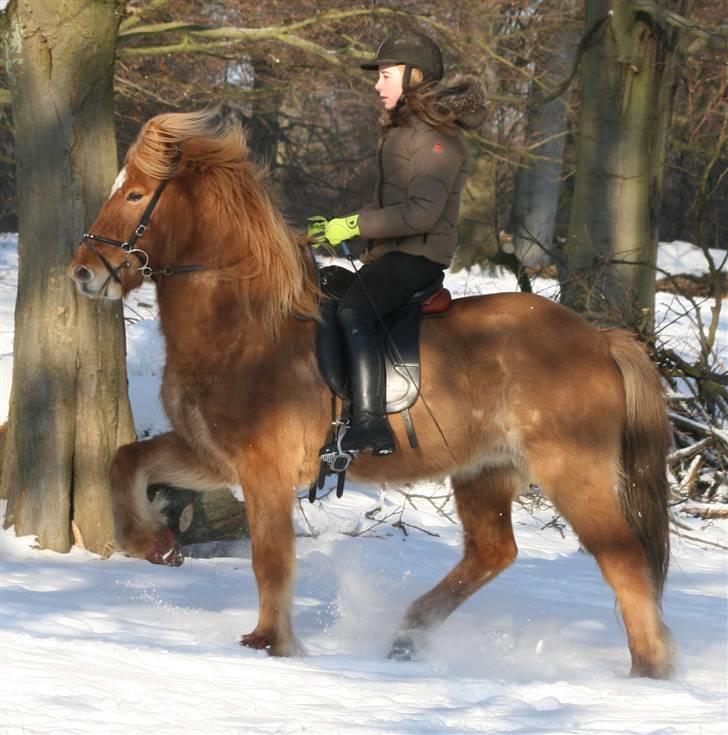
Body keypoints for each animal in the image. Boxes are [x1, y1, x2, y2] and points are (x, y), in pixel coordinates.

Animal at [71, 108, 672, 680]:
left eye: (135, 194)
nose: (83, 273)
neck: (247, 326)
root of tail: (601, 338)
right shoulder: (211, 456)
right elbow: (127, 460)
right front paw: (152, 543)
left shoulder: (264, 468)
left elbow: (271, 559)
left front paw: (271, 642)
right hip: (485, 470)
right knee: (494, 552)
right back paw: (406, 636)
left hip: (572, 469)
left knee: (623, 557)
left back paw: (650, 668)